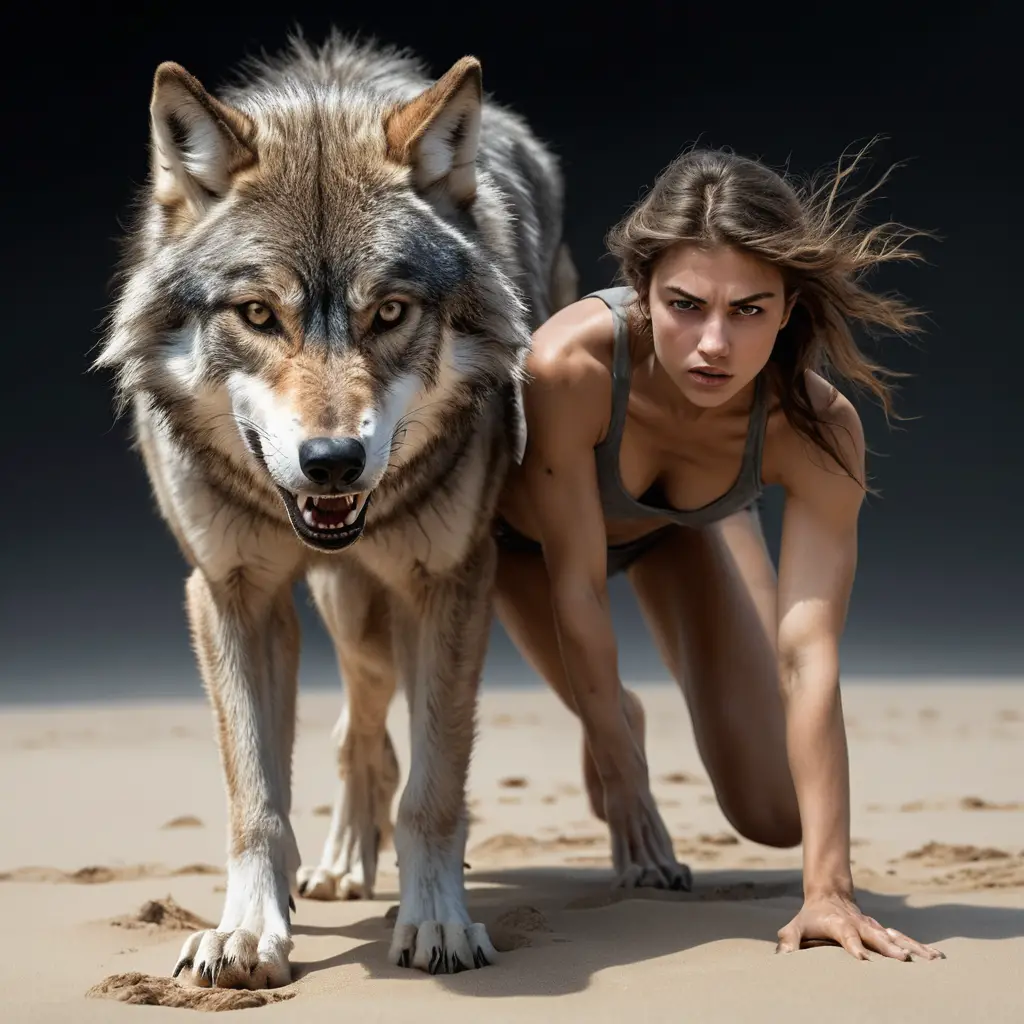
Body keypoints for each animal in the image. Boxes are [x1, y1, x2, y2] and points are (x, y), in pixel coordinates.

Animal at [96, 32, 577, 987]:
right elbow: (256, 797)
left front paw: (438, 921)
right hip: (348, 614)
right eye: (257, 313)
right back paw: (341, 867)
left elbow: (434, 790)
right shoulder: (230, 592)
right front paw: (248, 932)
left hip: (383, 612)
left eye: (389, 311)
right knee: (358, 736)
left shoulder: (451, 584)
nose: (331, 462)